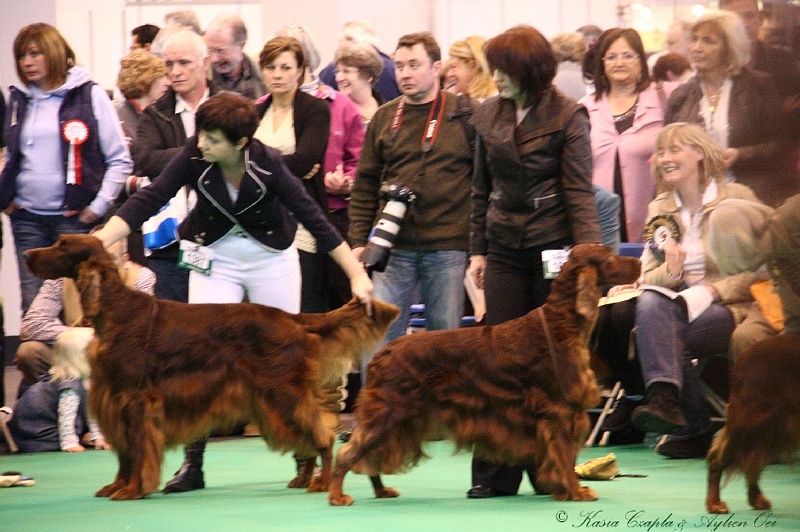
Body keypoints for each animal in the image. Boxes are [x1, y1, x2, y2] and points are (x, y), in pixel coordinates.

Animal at [25, 233, 400, 498]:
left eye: (62, 245)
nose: (28, 255)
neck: (116, 311)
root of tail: (291, 318)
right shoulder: (114, 400)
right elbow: (124, 453)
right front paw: (117, 486)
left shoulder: (136, 400)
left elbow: (138, 449)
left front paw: (132, 490)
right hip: (272, 400)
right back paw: (306, 478)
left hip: (281, 392)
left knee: (321, 434)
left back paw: (321, 483)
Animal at [328, 243, 640, 504]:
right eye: (610, 257)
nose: (638, 262)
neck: (560, 321)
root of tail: (383, 353)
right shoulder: (558, 412)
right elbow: (564, 457)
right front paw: (576, 491)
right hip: (391, 413)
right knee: (348, 453)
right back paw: (337, 495)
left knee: (369, 457)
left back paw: (380, 490)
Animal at [708, 334, 800, 512]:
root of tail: (744, 355)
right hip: (753, 420)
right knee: (720, 456)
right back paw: (714, 503)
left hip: (770, 427)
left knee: (751, 461)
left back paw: (756, 498)